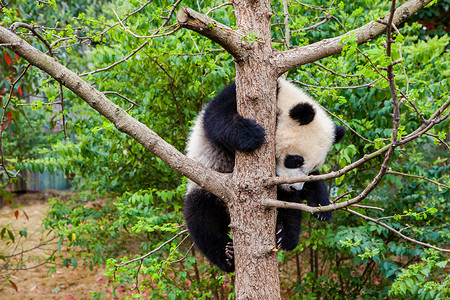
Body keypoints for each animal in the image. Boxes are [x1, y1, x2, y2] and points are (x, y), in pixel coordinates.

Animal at [183, 78, 344, 272]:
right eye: (295, 160)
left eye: (311, 168)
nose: (294, 187)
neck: (281, 101)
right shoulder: (233, 95)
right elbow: (217, 118)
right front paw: (251, 135)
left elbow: (314, 182)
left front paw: (321, 208)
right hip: (206, 187)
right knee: (202, 221)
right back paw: (227, 255)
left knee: (290, 210)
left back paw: (285, 235)